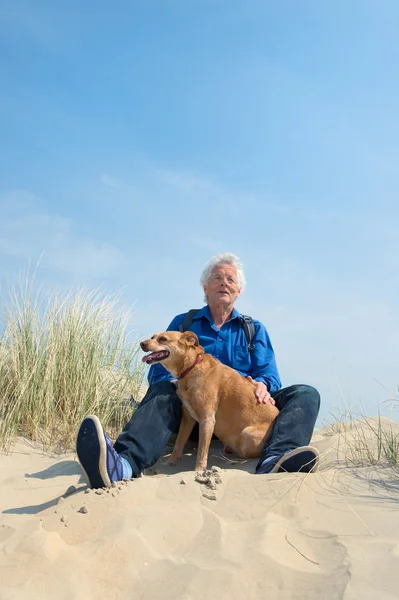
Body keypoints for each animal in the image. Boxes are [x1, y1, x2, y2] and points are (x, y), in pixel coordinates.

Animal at [142, 330, 280, 472]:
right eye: (153, 337)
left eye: (163, 339)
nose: (142, 344)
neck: (191, 367)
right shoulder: (187, 417)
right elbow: (179, 443)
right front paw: (170, 462)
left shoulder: (207, 419)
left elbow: (202, 452)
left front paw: (198, 471)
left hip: (246, 435)